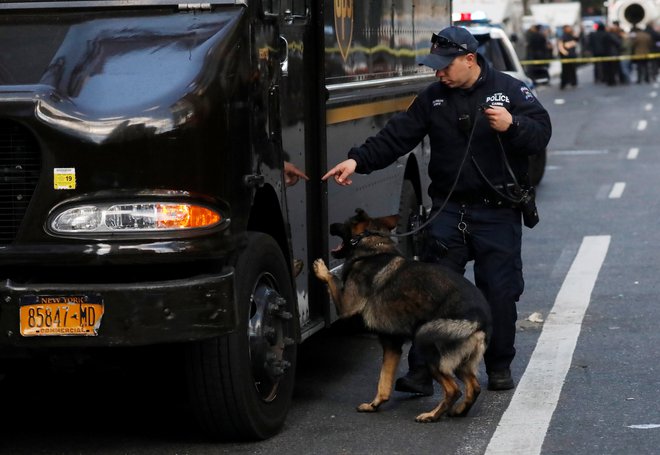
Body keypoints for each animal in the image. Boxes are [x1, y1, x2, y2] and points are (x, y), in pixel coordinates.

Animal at [314, 210, 490, 424]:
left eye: (346, 223)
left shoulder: (345, 307)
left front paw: (321, 269)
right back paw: (458, 411)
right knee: (474, 387)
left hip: (425, 343)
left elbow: (332, 280)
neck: (374, 247)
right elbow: (384, 381)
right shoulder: (392, 345)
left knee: (454, 390)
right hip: (459, 362)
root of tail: (480, 320)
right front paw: (374, 405)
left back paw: (432, 415)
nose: (331, 225)